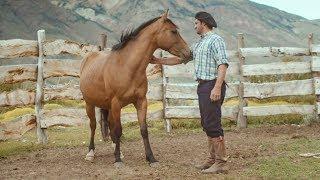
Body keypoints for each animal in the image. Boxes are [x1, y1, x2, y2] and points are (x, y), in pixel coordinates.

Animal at [79, 10, 190, 167]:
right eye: (173, 31)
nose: (189, 53)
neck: (127, 66)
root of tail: (89, 56)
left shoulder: (141, 102)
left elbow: (143, 130)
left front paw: (151, 158)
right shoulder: (116, 103)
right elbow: (118, 130)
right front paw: (118, 160)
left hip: (108, 107)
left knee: (110, 125)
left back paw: (116, 149)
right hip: (90, 104)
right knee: (93, 125)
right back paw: (91, 153)